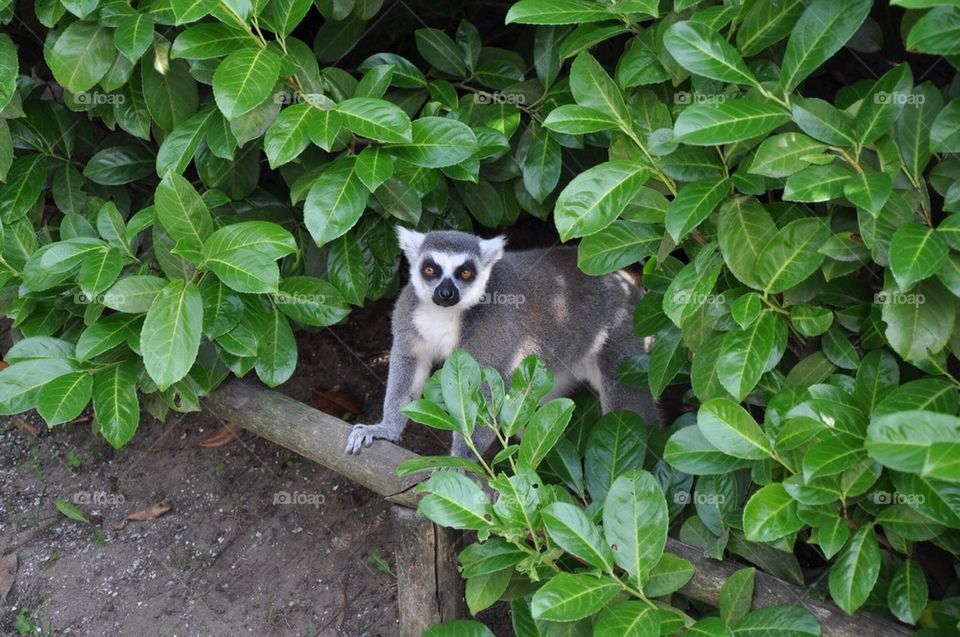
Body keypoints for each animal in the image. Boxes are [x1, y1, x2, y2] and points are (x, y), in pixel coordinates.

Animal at [344, 227, 660, 458]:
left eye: (465, 272)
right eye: (430, 269)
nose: (446, 293)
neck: (447, 314)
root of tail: (623, 279)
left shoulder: (496, 328)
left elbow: (485, 385)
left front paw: (462, 460)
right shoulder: (410, 312)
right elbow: (409, 362)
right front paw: (385, 429)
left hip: (624, 331)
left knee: (626, 399)